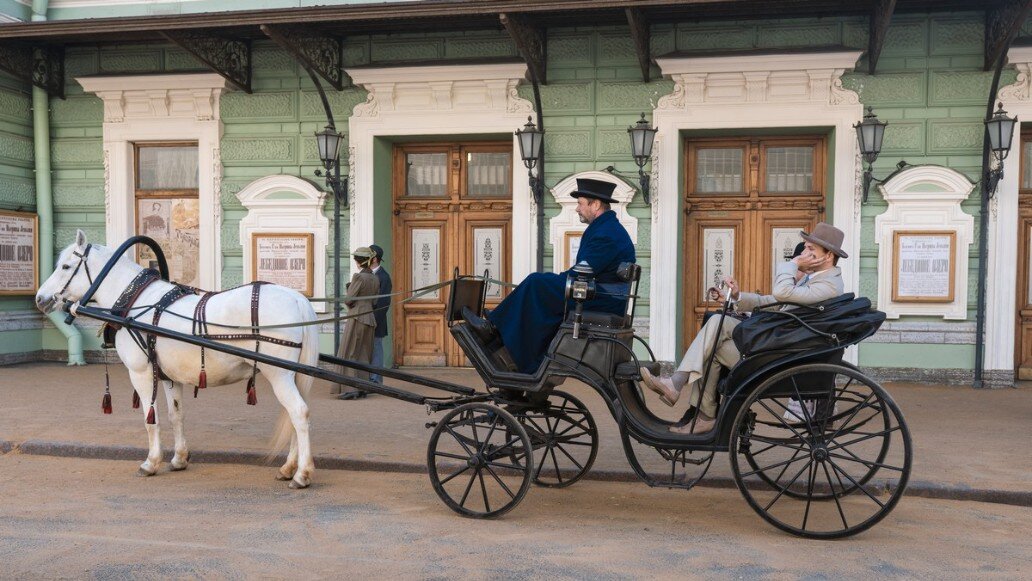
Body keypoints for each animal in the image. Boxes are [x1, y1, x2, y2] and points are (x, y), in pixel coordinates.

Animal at [37, 230, 317, 489]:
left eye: (65, 266)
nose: (40, 298)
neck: (137, 303)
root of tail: (298, 298)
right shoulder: (170, 376)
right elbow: (176, 415)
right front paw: (179, 458)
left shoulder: (141, 373)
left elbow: (151, 419)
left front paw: (151, 462)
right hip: (291, 375)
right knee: (293, 416)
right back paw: (289, 467)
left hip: (279, 375)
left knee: (299, 412)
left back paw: (302, 474)